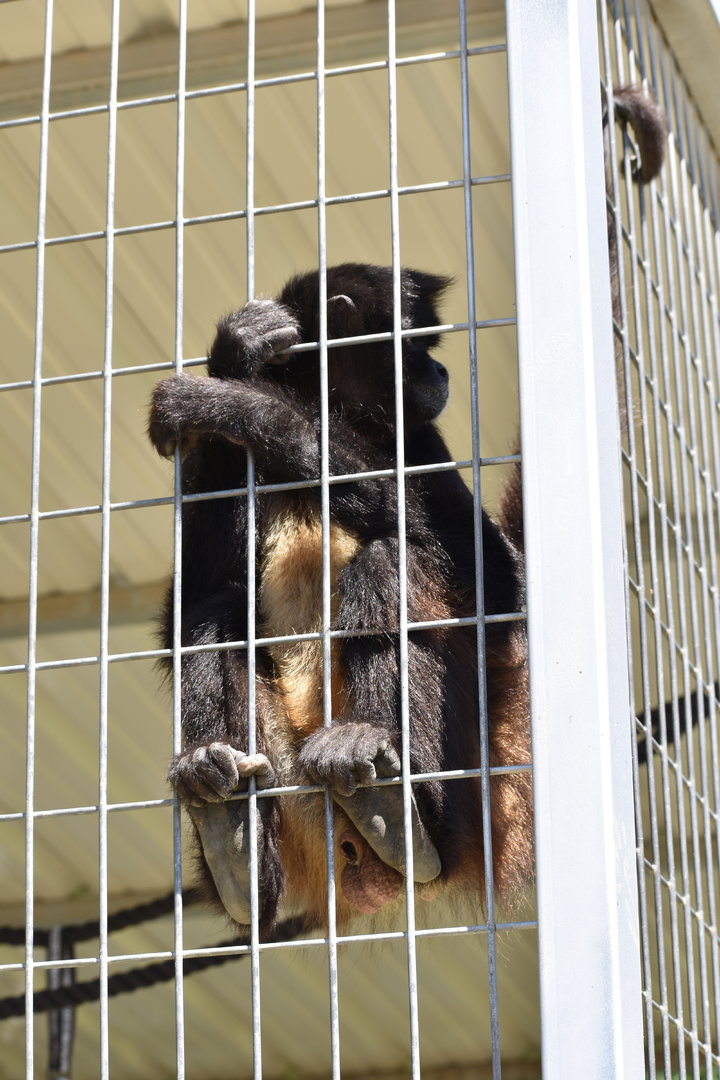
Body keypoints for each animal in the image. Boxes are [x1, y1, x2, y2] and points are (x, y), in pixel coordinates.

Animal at [148, 263, 533, 931]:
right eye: (418, 345)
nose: (442, 372)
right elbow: (183, 615)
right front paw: (235, 357)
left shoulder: (420, 440)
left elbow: (501, 589)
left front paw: (241, 403)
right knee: (215, 612)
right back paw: (231, 838)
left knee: (390, 561)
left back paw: (397, 801)